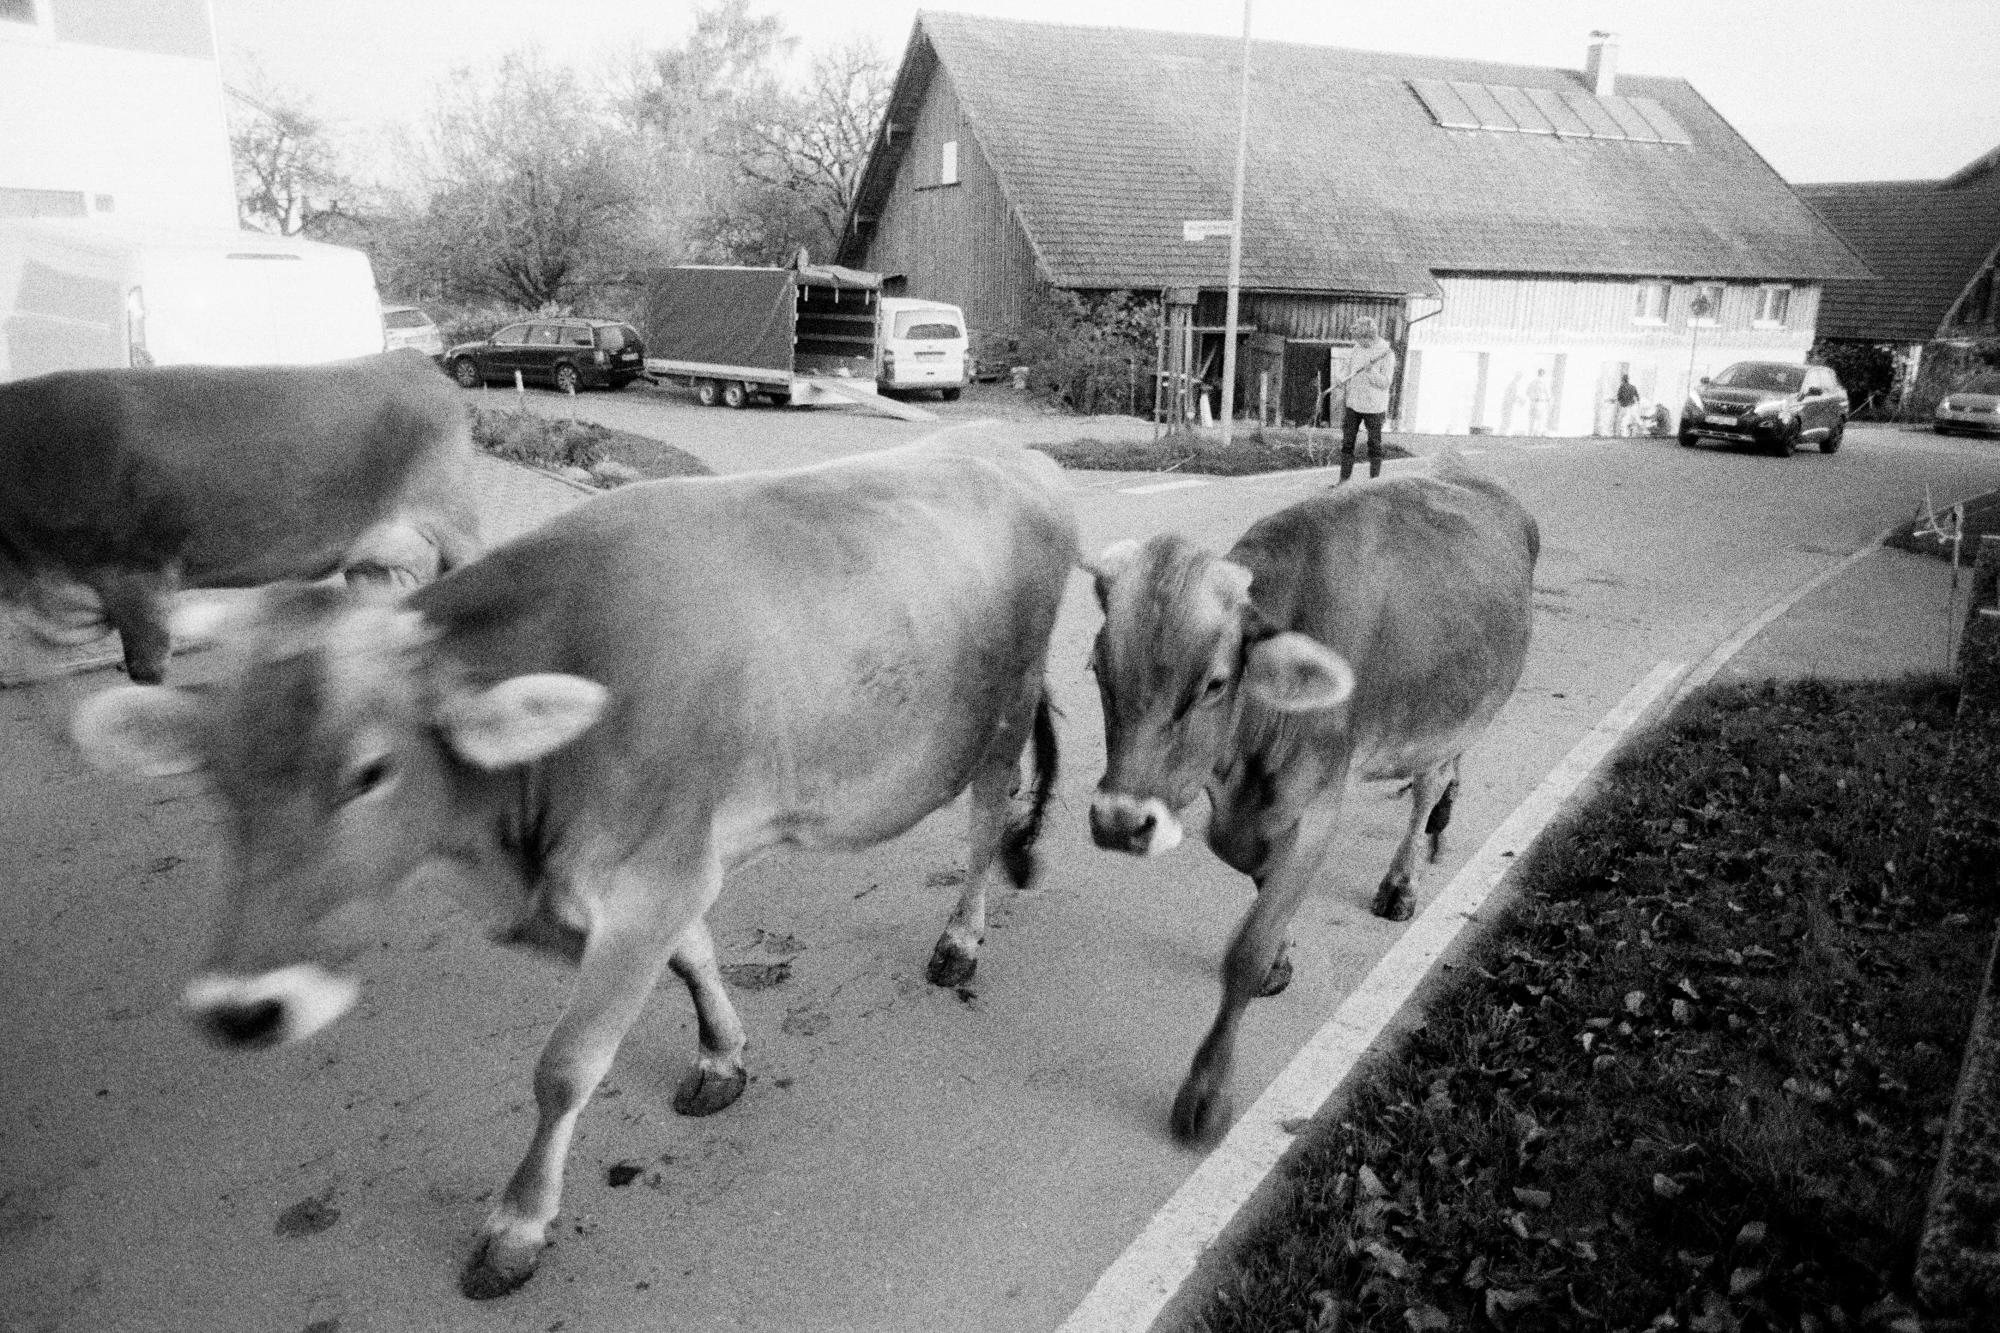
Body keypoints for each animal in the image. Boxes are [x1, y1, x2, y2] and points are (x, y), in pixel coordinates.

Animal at [68, 439, 1077, 1298]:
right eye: (217, 776)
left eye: (369, 770)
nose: (242, 1008)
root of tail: (1012, 449)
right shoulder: (663, 871)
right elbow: (695, 957)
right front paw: (722, 1053)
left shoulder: (655, 876)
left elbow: (565, 1065)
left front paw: (517, 1227)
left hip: (1004, 710)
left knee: (986, 823)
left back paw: (960, 940)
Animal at [1083, 460, 1537, 1142]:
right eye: (1098, 670)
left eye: (1214, 683)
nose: (1118, 823)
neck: (1248, 755)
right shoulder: (1240, 815)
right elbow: (1257, 881)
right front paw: (1281, 958)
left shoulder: (1320, 804)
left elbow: (1245, 952)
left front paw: (1207, 1093)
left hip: (1453, 716)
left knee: (1429, 783)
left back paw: (1405, 875)